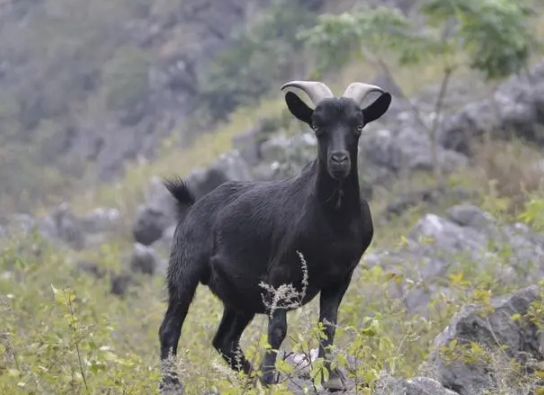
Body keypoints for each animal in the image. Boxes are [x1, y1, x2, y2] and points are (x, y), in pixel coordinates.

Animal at [157, 80, 392, 392]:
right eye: (317, 125)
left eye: (359, 125)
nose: (339, 159)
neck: (333, 223)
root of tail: (191, 206)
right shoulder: (280, 275)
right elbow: (278, 329)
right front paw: (269, 379)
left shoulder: (340, 276)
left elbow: (328, 323)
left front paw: (331, 378)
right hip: (185, 269)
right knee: (170, 327)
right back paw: (172, 384)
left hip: (239, 297)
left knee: (224, 339)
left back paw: (248, 379)